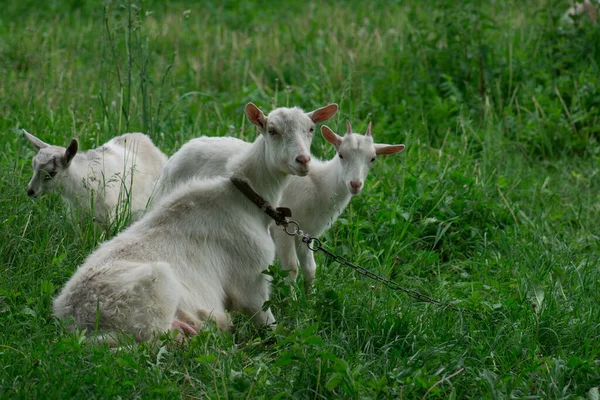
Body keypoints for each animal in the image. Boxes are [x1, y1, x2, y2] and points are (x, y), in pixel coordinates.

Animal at [52, 102, 338, 340]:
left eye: (310, 129)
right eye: (272, 130)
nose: (303, 160)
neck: (244, 197)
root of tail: (75, 320)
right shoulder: (251, 281)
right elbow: (271, 327)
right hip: (156, 292)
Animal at [151, 119, 404, 290]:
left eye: (372, 159)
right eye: (341, 155)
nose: (355, 184)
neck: (320, 184)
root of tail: (178, 152)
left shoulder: (307, 233)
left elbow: (310, 269)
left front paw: (310, 300)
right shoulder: (283, 228)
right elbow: (291, 268)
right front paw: (291, 303)